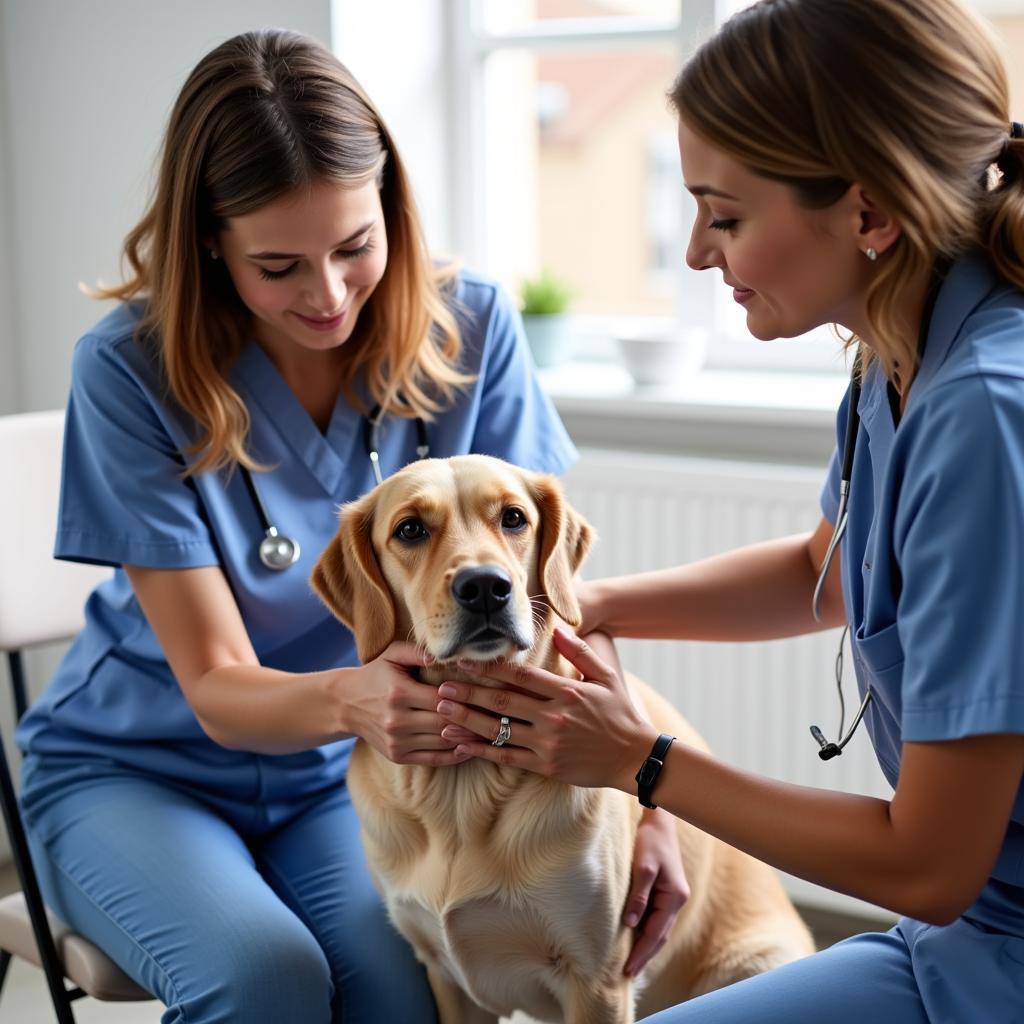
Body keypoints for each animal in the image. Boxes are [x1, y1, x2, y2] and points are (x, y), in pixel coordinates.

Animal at [307, 458, 811, 1024]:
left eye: (513, 518)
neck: (464, 785)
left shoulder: (598, 981)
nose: (486, 586)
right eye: (410, 529)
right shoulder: (444, 973)